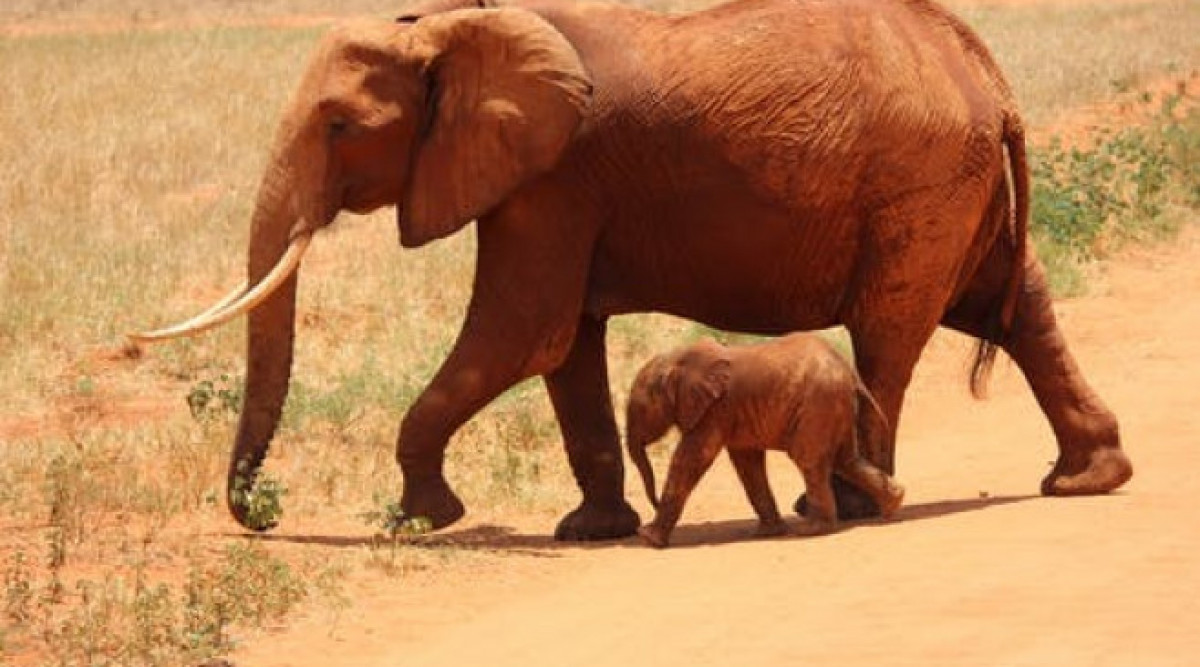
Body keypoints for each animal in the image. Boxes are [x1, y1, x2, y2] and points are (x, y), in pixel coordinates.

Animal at [628, 333, 902, 547]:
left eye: (640, 408)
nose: (653, 504)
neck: (678, 359)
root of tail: (850, 374)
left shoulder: (716, 409)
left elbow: (691, 458)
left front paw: (648, 538)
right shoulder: (731, 413)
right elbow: (747, 463)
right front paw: (767, 533)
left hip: (819, 404)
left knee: (809, 459)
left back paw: (812, 530)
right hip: (835, 405)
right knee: (845, 460)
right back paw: (894, 505)